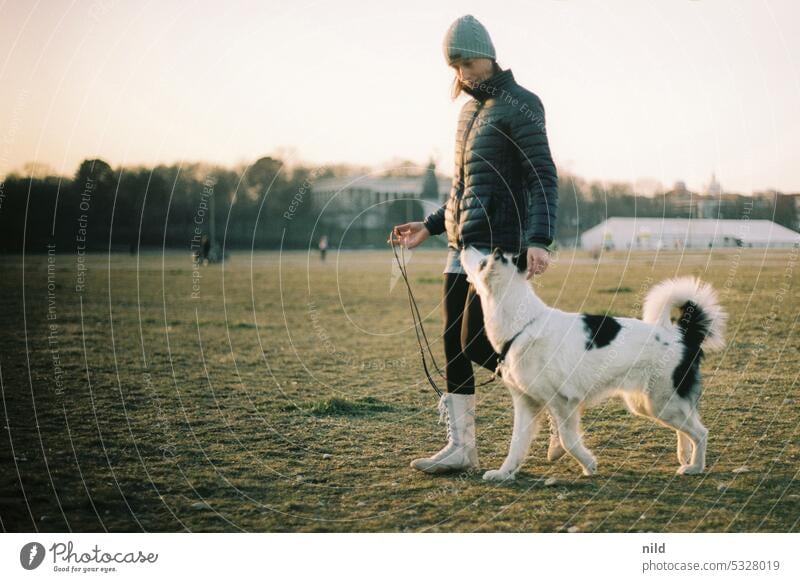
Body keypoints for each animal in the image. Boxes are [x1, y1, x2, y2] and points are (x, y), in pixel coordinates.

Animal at [460, 249, 728, 482]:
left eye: (482, 262)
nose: (462, 245)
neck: (521, 324)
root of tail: (682, 334)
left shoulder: (563, 403)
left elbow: (568, 440)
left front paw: (588, 464)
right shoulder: (527, 403)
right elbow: (516, 444)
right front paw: (504, 473)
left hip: (661, 403)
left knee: (700, 432)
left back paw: (695, 466)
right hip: (650, 404)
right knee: (687, 427)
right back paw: (685, 455)